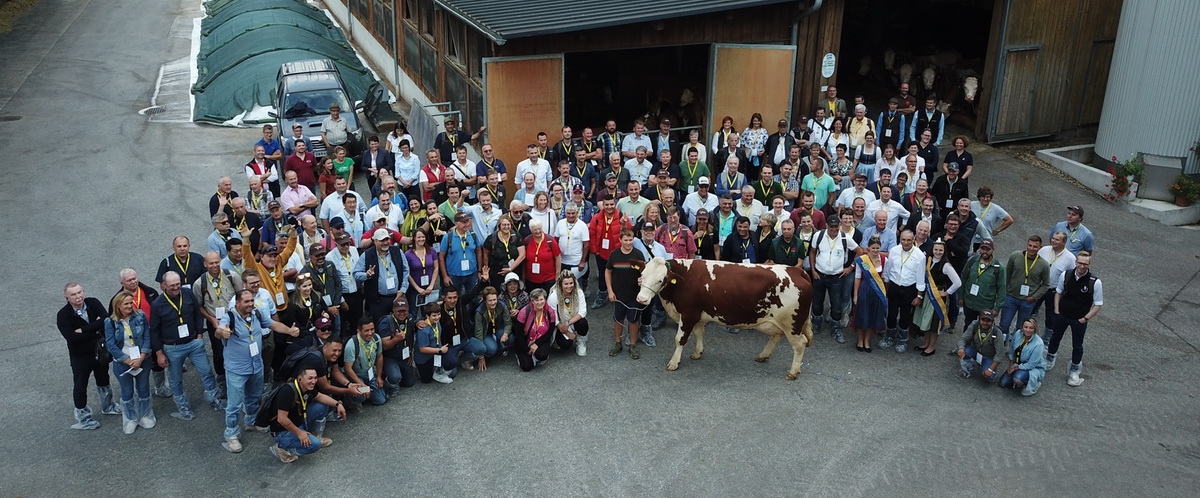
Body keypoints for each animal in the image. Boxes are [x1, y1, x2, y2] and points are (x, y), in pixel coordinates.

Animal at [628, 259, 816, 379]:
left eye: (661, 280)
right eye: (642, 275)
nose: (641, 299)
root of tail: (796, 270)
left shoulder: (688, 314)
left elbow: (680, 339)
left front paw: (674, 362)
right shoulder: (698, 315)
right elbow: (699, 333)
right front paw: (698, 352)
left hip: (791, 323)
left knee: (800, 344)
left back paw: (793, 372)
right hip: (777, 321)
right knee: (776, 337)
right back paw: (763, 355)